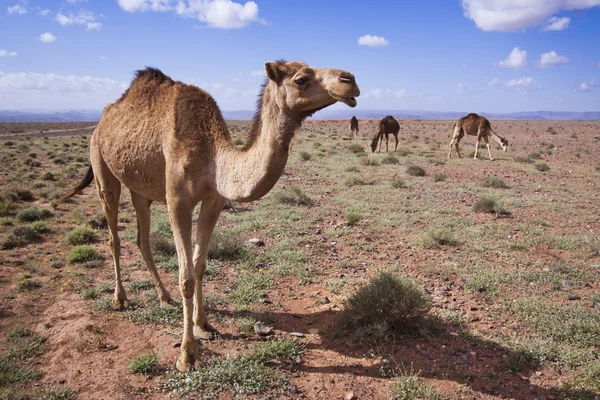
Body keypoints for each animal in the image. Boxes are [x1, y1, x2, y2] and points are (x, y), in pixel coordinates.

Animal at [56, 61, 358, 372]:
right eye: (301, 79)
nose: (350, 80)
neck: (212, 155)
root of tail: (102, 121)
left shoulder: (214, 199)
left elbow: (200, 265)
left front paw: (203, 324)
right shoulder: (178, 201)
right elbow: (186, 276)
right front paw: (187, 354)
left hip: (140, 186)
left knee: (142, 238)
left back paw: (164, 297)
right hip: (101, 165)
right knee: (113, 236)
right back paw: (120, 299)